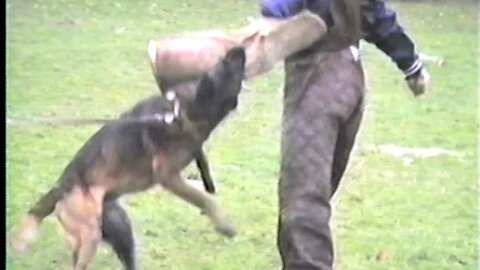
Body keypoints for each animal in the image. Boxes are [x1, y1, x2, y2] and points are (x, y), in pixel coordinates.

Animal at [11, 47, 248, 270]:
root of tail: (59, 187)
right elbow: (206, 199)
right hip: (90, 234)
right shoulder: (169, 177)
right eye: (222, 67)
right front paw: (224, 226)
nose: (239, 49)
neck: (179, 113)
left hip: (119, 227)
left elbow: (203, 192)